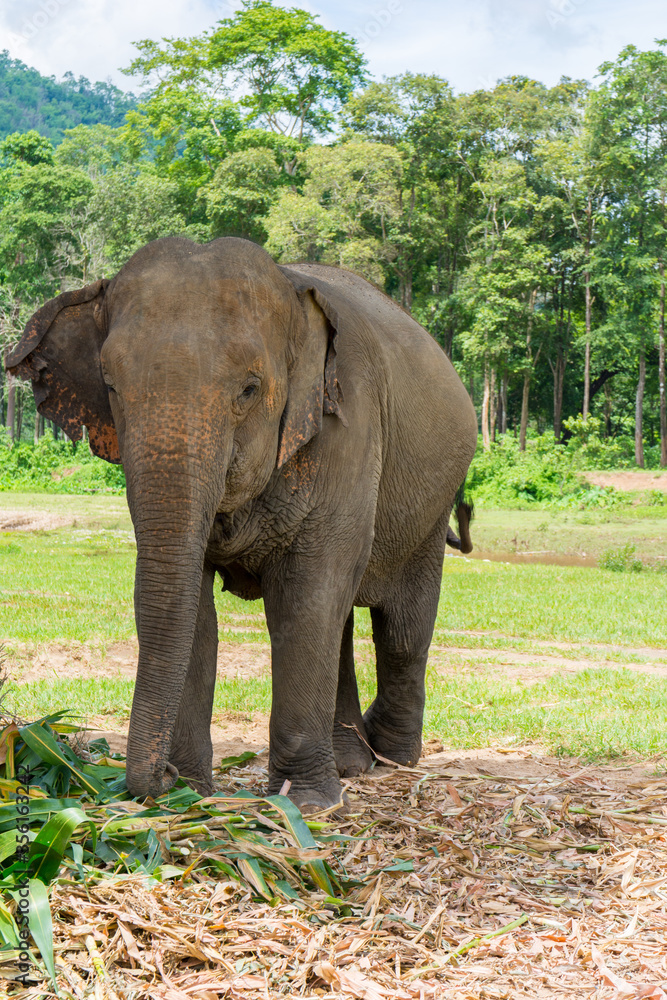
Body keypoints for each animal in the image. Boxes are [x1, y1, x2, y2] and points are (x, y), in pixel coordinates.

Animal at [5, 236, 478, 812]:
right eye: (111, 387)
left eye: (250, 390)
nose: (159, 775)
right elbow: (196, 607)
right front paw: (190, 792)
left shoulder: (350, 428)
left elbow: (306, 600)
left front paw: (306, 806)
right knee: (344, 621)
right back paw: (352, 763)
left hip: (432, 500)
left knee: (401, 626)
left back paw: (391, 758)